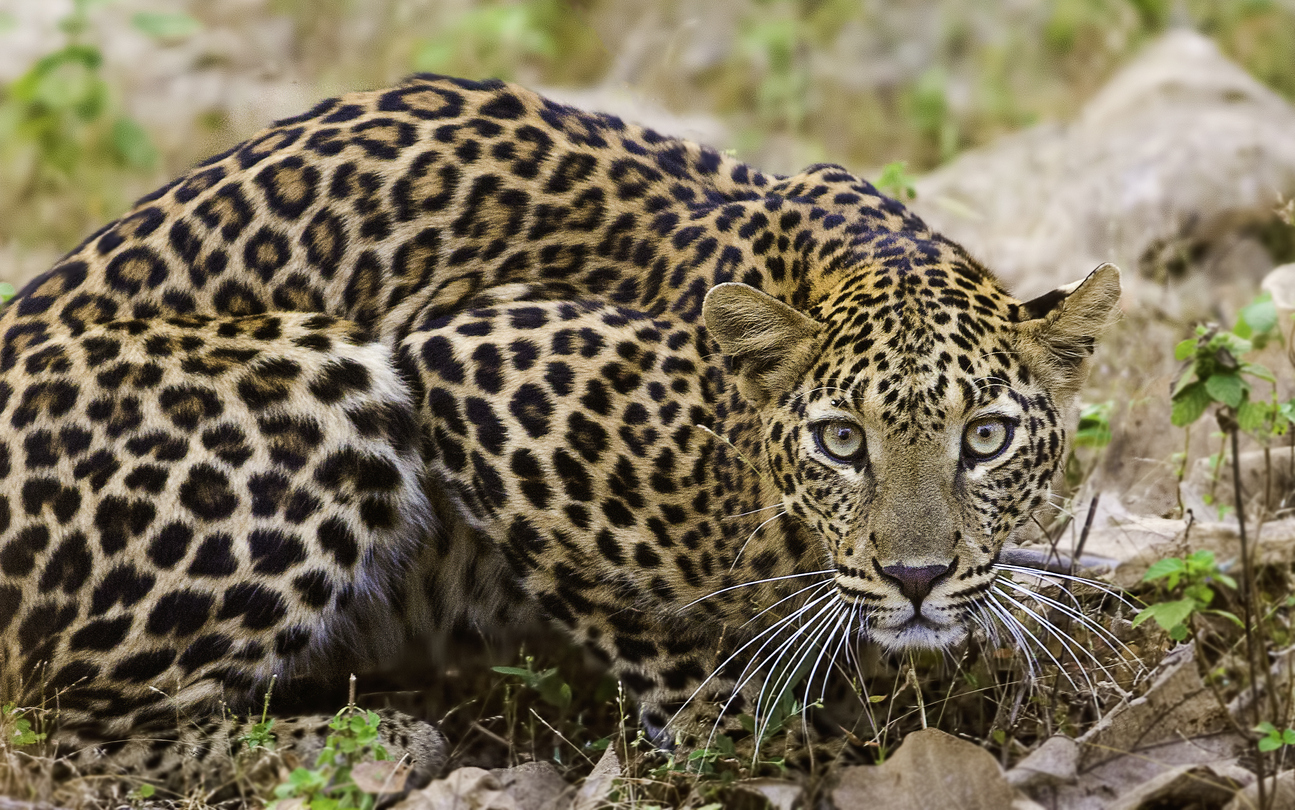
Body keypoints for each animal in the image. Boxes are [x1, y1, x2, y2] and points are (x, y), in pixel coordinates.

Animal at [0, 74, 1118, 798]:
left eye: (986, 437)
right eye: (842, 442)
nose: (917, 577)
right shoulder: (471, 362)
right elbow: (673, 655)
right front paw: (749, 747)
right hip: (324, 377)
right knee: (62, 734)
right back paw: (365, 745)